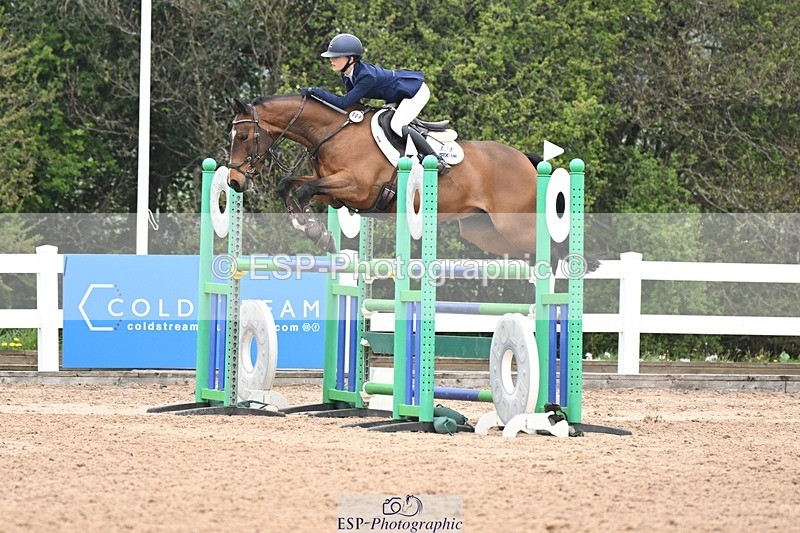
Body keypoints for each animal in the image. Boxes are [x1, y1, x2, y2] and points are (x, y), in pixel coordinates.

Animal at [227, 94, 541, 257]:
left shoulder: (357, 188)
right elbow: (288, 185)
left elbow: (304, 191)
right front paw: (304, 225)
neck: (331, 133)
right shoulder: (335, 194)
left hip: (515, 227)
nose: (234, 181)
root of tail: (525, 161)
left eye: (242, 136)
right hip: (484, 231)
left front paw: (316, 232)